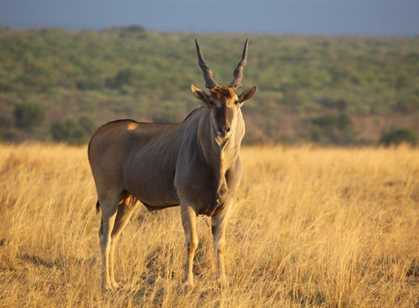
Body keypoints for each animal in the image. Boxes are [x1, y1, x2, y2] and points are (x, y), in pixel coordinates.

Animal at [89, 39, 256, 290]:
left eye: (235, 101)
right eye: (211, 102)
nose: (224, 128)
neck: (216, 164)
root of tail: (96, 135)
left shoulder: (225, 205)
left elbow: (220, 243)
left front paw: (222, 280)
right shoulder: (187, 203)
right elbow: (192, 242)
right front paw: (188, 282)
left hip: (128, 200)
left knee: (115, 235)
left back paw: (115, 282)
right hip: (109, 197)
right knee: (104, 236)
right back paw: (106, 284)